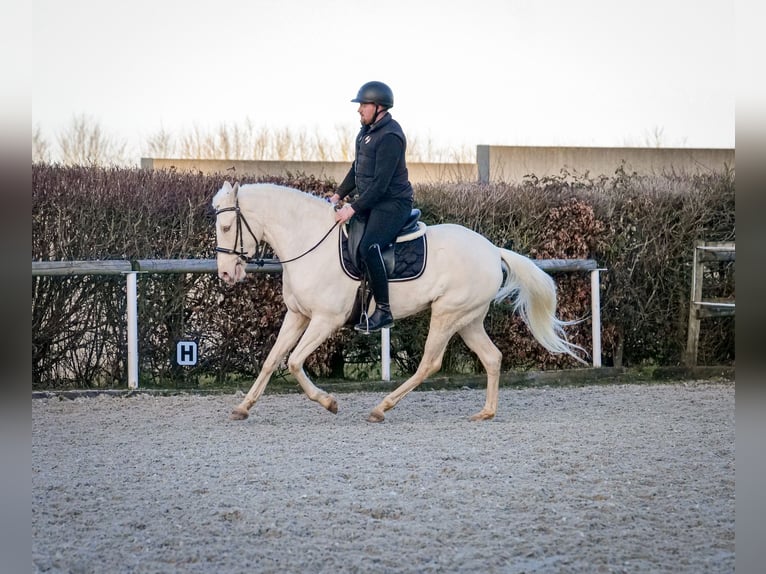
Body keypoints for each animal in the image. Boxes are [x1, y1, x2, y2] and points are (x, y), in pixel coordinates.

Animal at [213, 182, 584, 426]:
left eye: (227, 226)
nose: (226, 274)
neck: (310, 242)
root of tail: (493, 250)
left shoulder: (324, 320)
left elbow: (293, 362)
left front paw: (329, 402)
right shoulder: (298, 315)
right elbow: (271, 360)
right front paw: (243, 407)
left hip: (447, 314)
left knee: (429, 364)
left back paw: (382, 408)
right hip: (468, 319)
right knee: (492, 358)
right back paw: (486, 412)